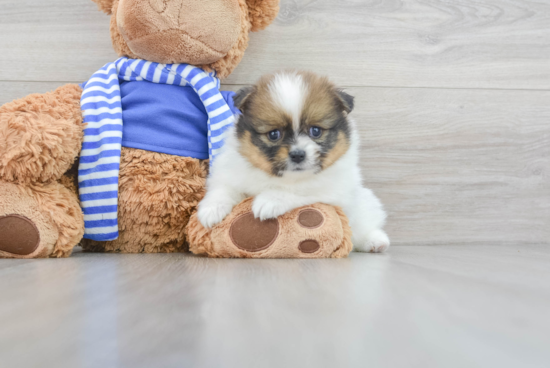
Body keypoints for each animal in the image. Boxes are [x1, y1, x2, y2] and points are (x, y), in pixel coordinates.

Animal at [198, 70, 392, 252]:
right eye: (274, 134)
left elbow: (300, 191)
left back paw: (375, 241)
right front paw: (210, 210)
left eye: (315, 131)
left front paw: (270, 200)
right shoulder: (231, 171)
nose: (298, 155)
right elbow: (223, 189)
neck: (280, 177)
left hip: (364, 202)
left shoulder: (332, 190)